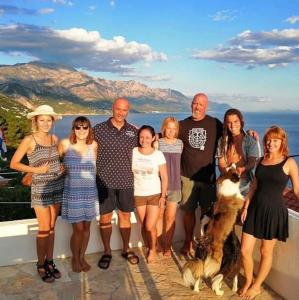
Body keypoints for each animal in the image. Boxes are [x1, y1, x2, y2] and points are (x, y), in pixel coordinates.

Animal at [182, 168, 245, 296]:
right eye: (234, 170)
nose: (233, 164)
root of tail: (206, 245)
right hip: (224, 264)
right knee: (219, 277)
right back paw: (219, 291)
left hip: (202, 260)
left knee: (200, 275)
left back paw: (196, 289)